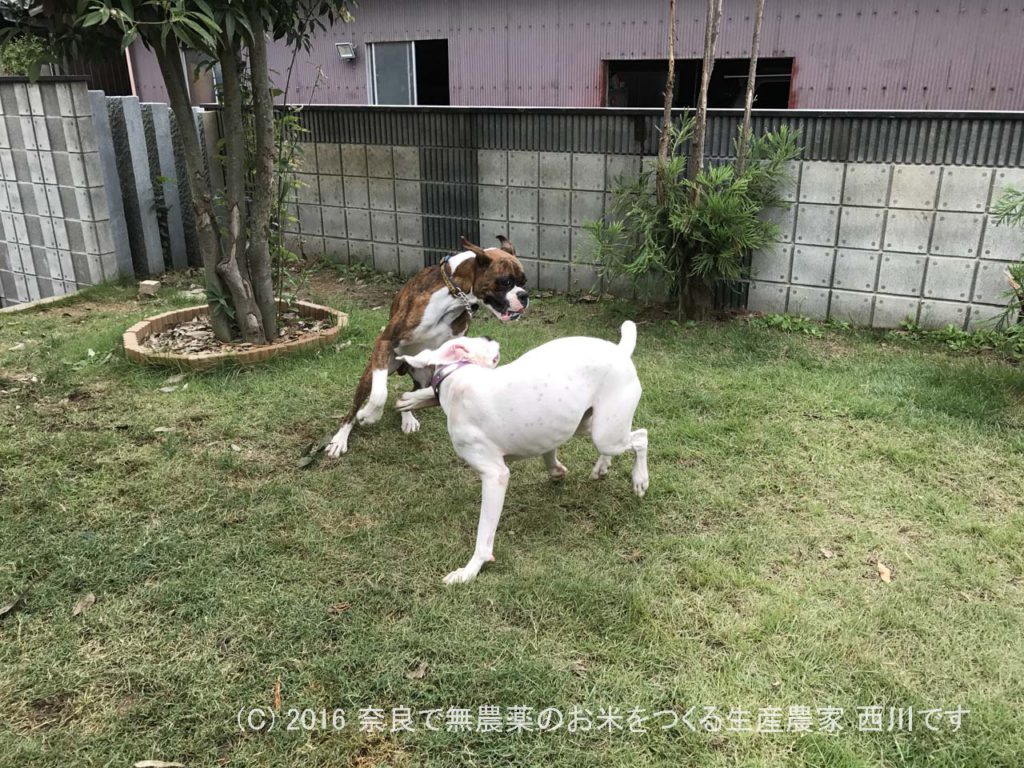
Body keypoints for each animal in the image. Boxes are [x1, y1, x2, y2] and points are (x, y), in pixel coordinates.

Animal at [397, 321, 647, 585]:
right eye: (477, 340)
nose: (489, 335)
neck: (454, 380)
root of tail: (620, 350)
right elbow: (549, 453)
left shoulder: (495, 476)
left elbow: (484, 536)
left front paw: (470, 570)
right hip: (590, 424)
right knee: (628, 438)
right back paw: (602, 467)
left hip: (606, 435)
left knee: (641, 437)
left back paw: (640, 479)